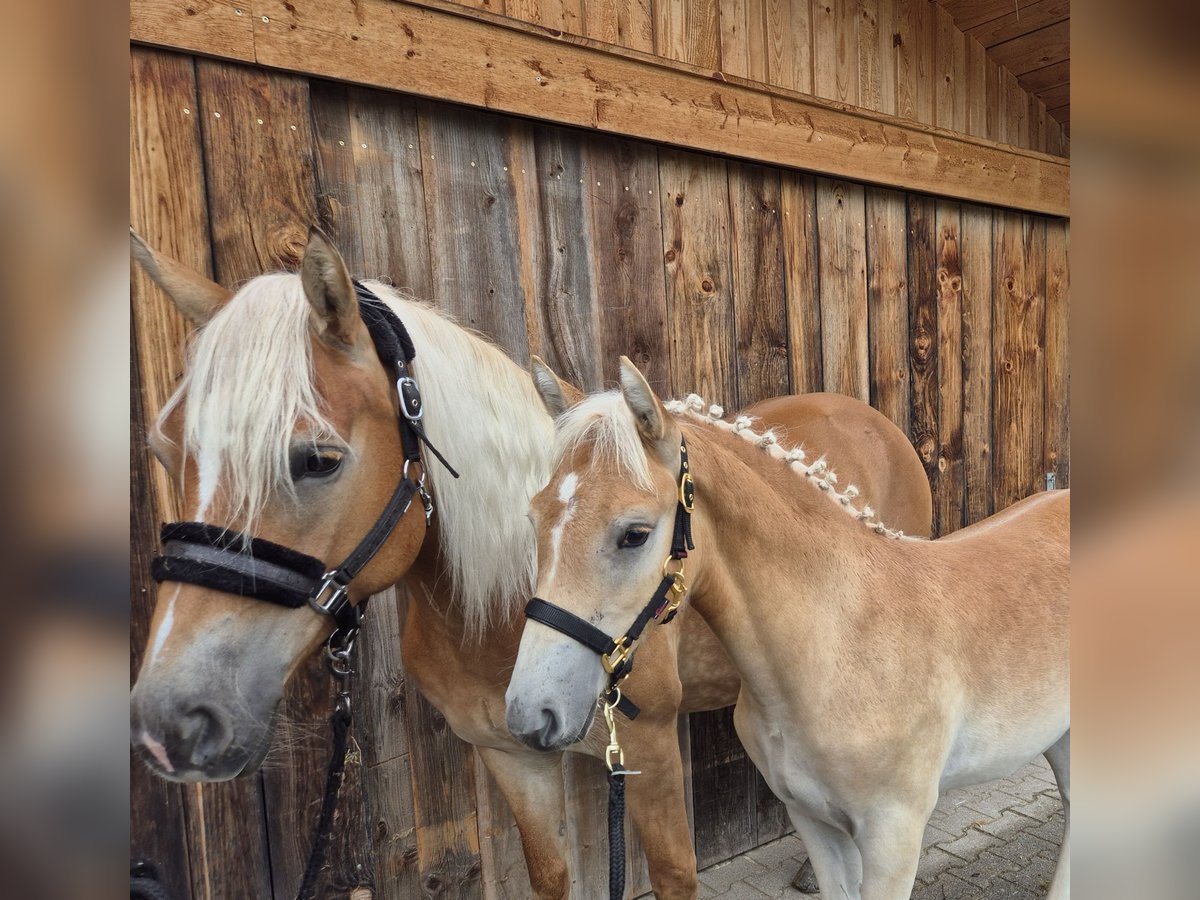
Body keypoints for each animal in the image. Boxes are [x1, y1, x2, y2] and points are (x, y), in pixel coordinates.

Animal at [133, 229, 926, 897]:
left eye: (318, 458)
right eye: (165, 450)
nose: (172, 721)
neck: (502, 613)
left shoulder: (647, 749)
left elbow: (675, 874)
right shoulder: (509, 755)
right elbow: (550, 876)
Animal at [506, 360, 1070, 900]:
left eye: (635, 534)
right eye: (534, 520)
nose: (531, 713)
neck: (841, 642)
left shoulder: (893, 838)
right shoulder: (814, 823)